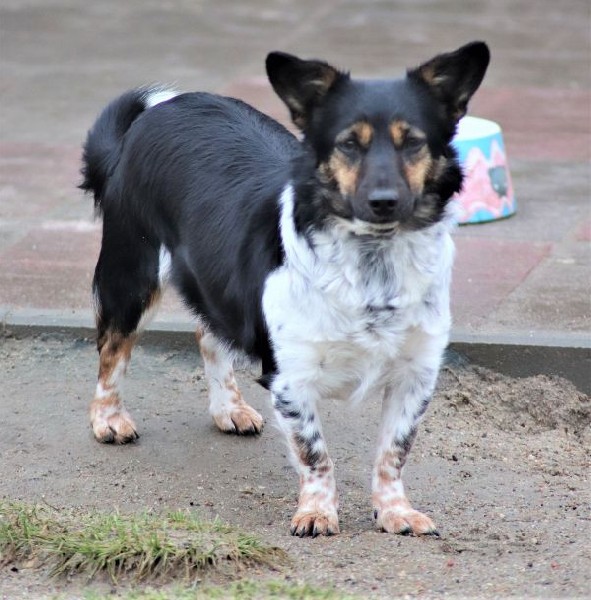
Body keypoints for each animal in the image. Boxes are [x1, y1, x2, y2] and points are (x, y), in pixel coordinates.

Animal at [81, 42, 492, 540]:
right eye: (348, 143)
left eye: (412, 141)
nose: (384, 201)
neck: (372, 266)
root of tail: (154, 115)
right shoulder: (292, 380)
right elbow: (316, 453)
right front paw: (317, 511)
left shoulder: (416, 375)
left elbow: (393, 453)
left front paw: (395, 511)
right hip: (132, 275)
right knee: (112, 348)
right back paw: (109, 419)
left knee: (208, 332)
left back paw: (229, 408)